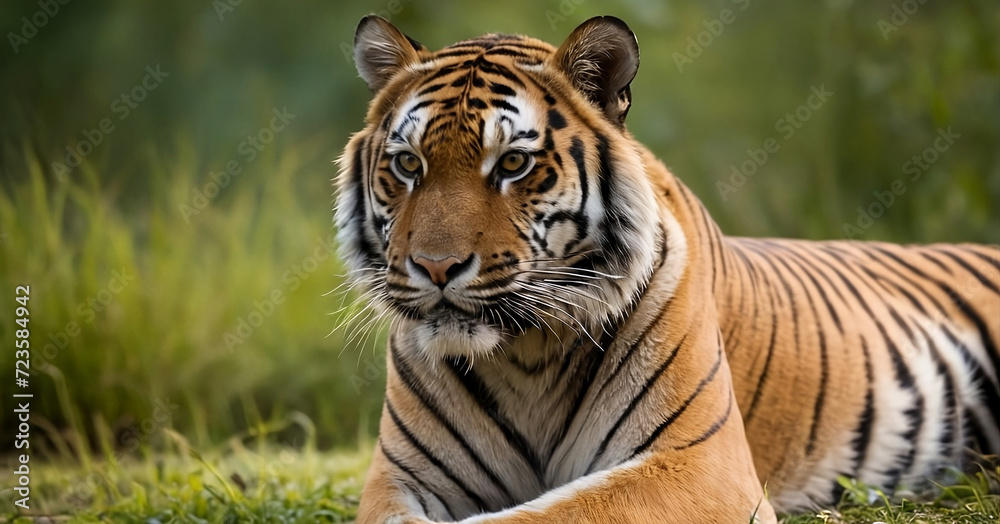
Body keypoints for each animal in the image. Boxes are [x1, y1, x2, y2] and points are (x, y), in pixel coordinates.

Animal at [334, 14, 1000, 524]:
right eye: (408, 164)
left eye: (514, 164)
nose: (435, 267)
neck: (525, 355)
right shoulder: (399, 478)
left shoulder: (699, 465)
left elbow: (541, 514)